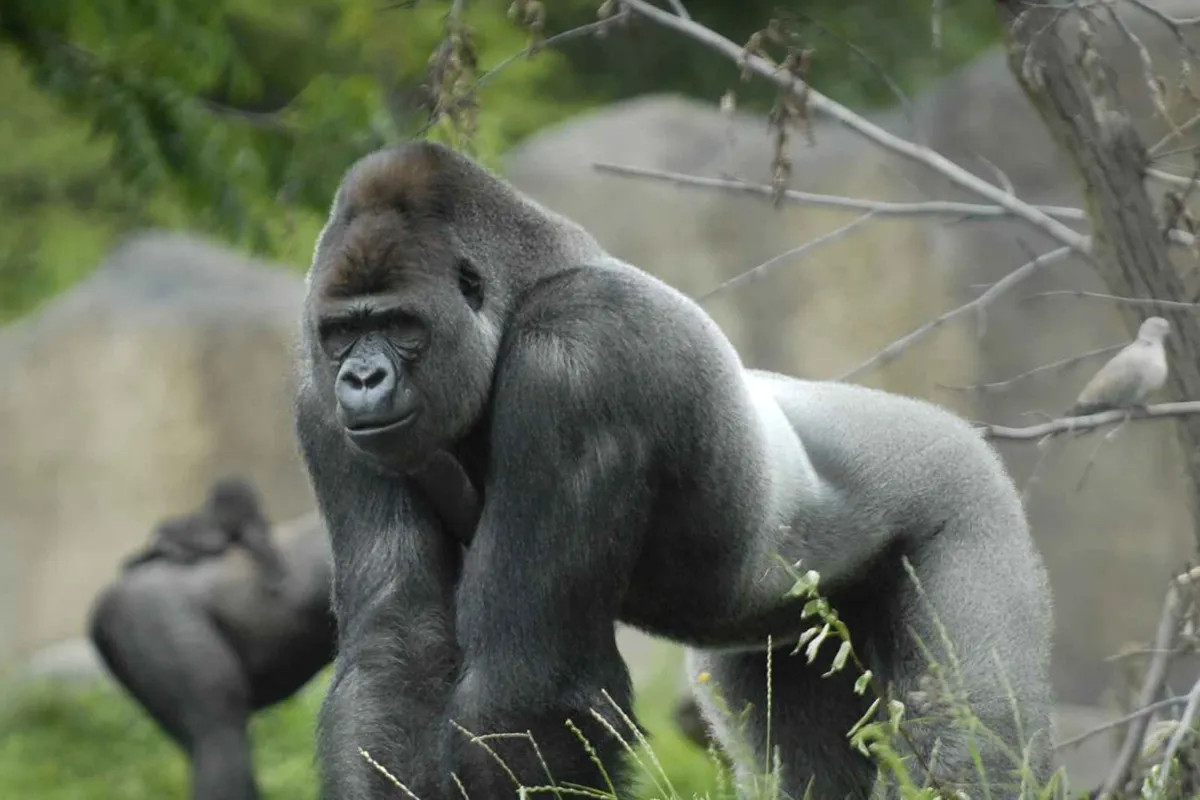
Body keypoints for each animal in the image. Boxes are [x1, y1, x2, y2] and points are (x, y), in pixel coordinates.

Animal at [293, 140, 1055, 799]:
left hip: (965, 492)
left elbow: (526, 687)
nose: (361, 378)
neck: (523, 292)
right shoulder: (319, 403)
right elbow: (395, 649)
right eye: (342, 333)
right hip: (789, 630)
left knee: (972, 742)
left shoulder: (580, 359)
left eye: (401, 325)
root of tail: (948, 426)